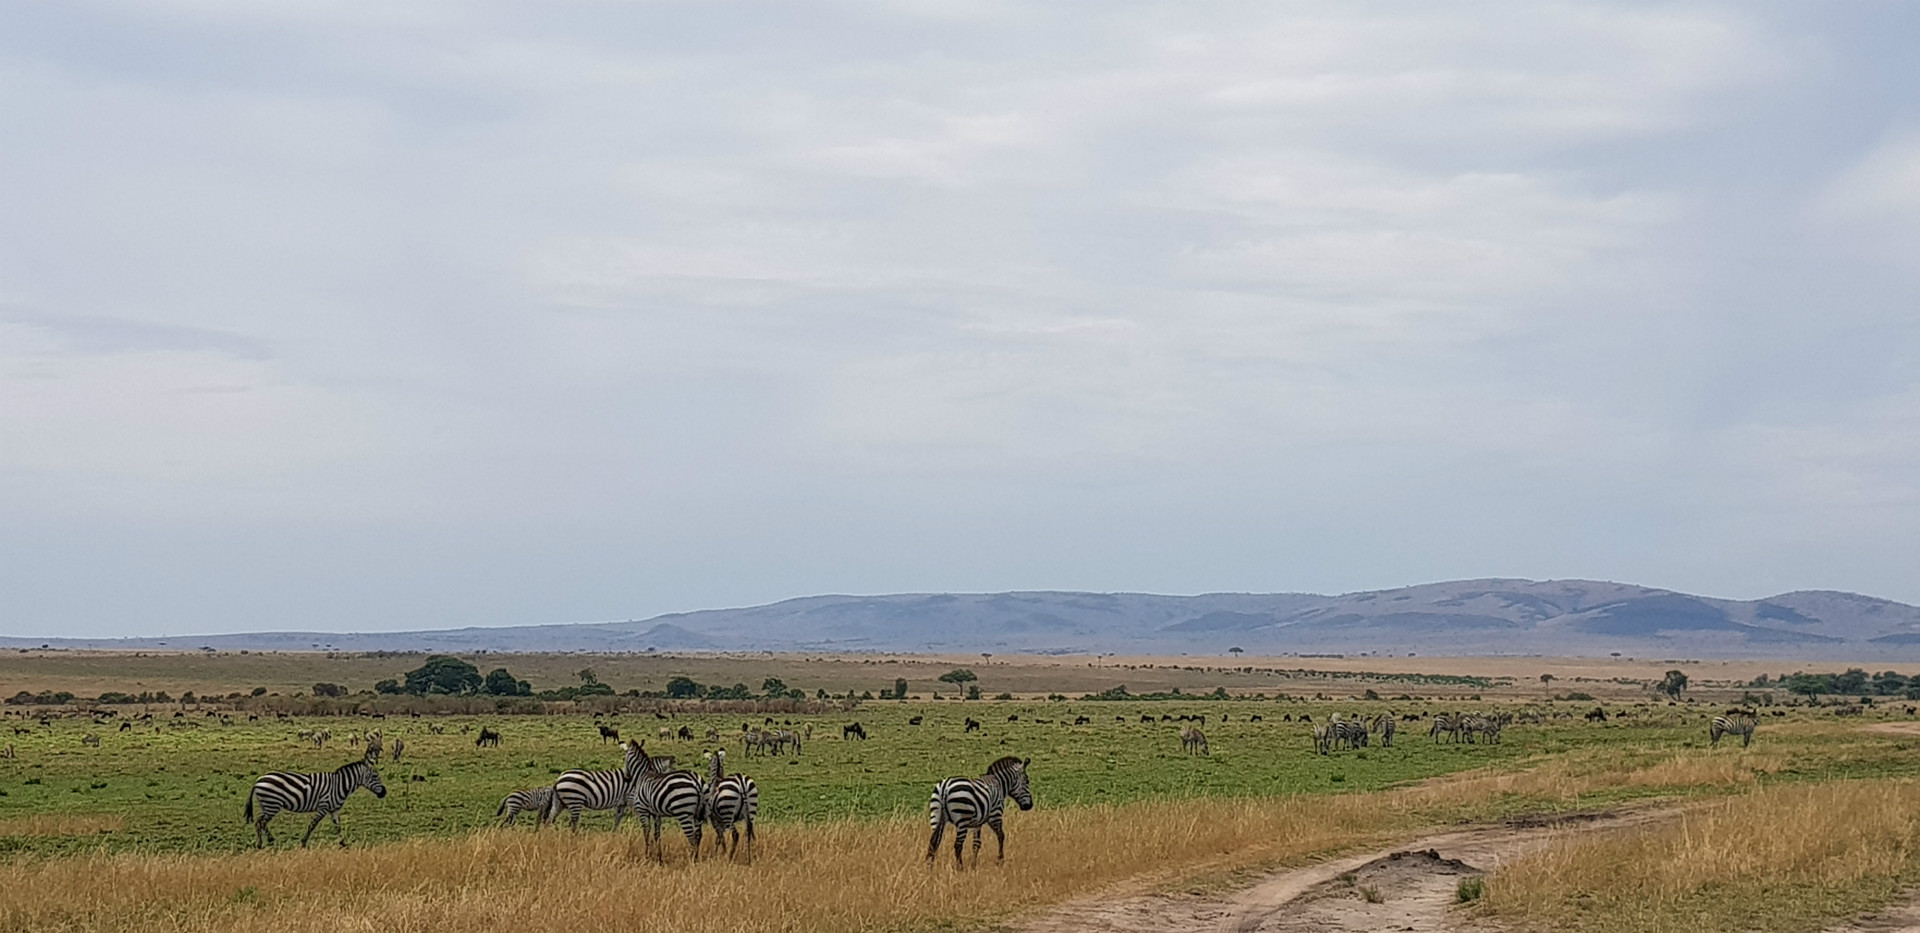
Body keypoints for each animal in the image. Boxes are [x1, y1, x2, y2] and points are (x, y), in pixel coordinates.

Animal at [243, 752, 385, 844]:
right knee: (261, 822)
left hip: (267, 805)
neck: (339, 785)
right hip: (272, 804)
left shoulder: (334, 809)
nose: (384, 792)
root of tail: (258, 780)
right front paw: (304, 841)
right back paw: (261, 843)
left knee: (260, 821)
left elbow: (338, 827)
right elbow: (313, 824)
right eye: (375, 777)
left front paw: (343, 843)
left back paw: (268, 840)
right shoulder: (323, 806)